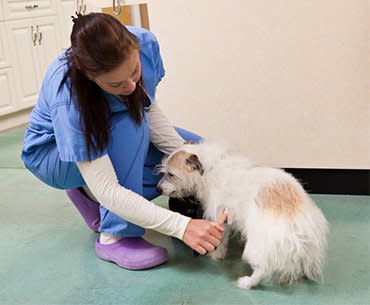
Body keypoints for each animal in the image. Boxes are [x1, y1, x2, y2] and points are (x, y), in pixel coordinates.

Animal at [156, 141, 326, 288]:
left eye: (171, 174)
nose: (157, 189)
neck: (209, 170)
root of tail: (296, 219)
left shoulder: (222, 216)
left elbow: (222, 240)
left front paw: (217, 255)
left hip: (257, 247)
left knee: (262, 269)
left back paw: (247, 283)